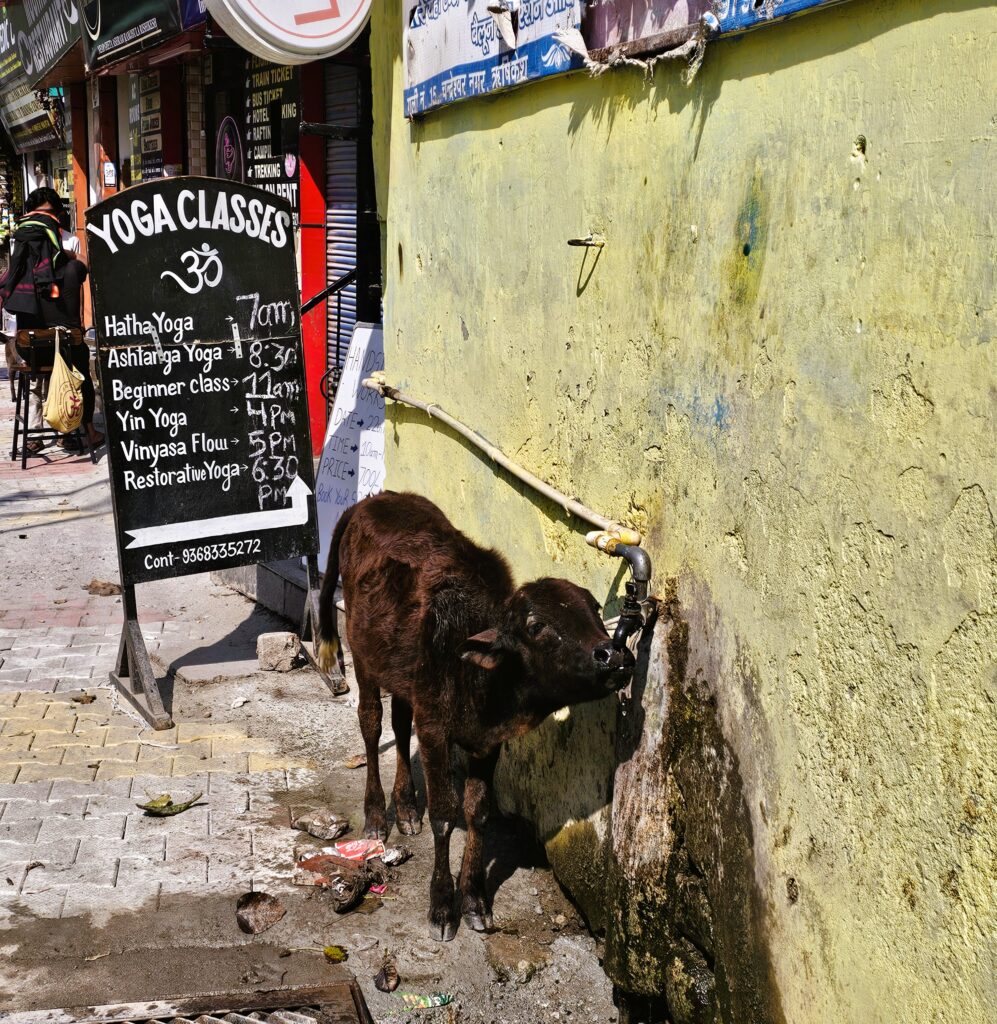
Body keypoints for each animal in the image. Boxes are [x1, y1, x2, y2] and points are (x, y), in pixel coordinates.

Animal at [317, 491, 635, 941]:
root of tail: (374, 500)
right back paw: (378, 816)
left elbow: (478, 814)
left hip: (404, 676)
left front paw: (474, 901)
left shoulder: (487, 742)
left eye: (593, 609)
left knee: (399, 723)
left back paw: (407, 808)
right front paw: (441, 906)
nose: (613, 654)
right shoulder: (435, 730)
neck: (484, 682)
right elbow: (445, 817)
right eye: (535, 626)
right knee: (372, 723)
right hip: (363, 656)